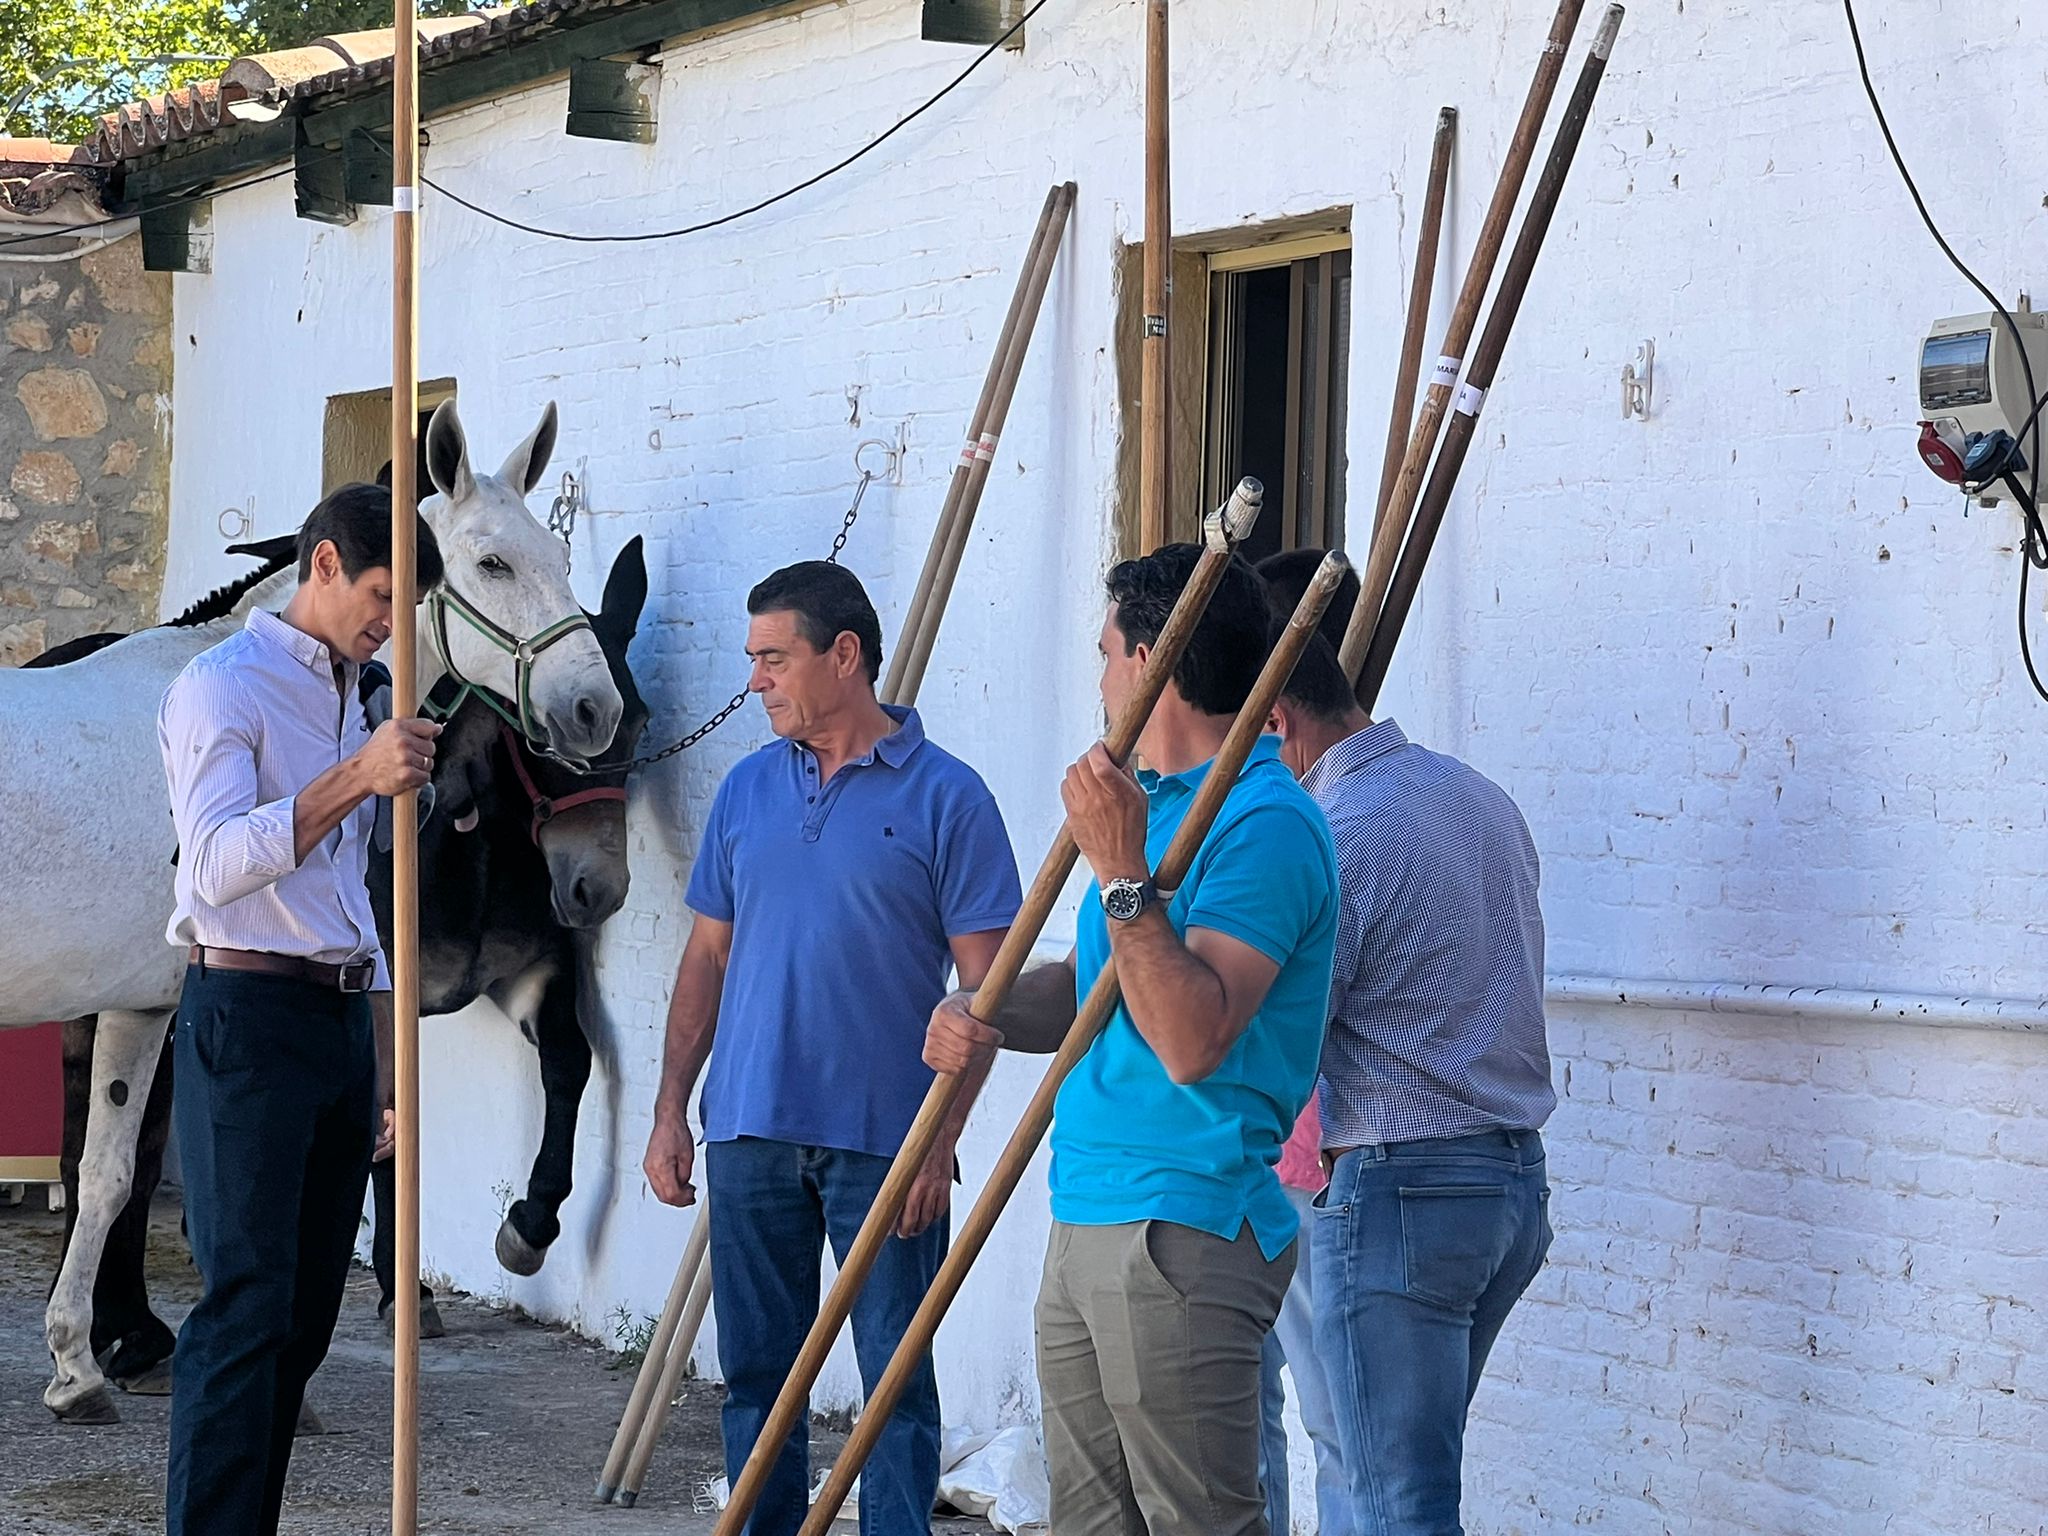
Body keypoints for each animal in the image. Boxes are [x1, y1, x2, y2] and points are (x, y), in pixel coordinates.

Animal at [44, 536, 647, 1392]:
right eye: (538, 744)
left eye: (643, 723)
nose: (597, 890)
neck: (461, 842)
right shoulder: (371, 991)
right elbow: (379, 1132)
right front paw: (406, 1290)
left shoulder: (529, 971)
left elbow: (569, 1064)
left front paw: (529, 1226)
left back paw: (123, 1323)